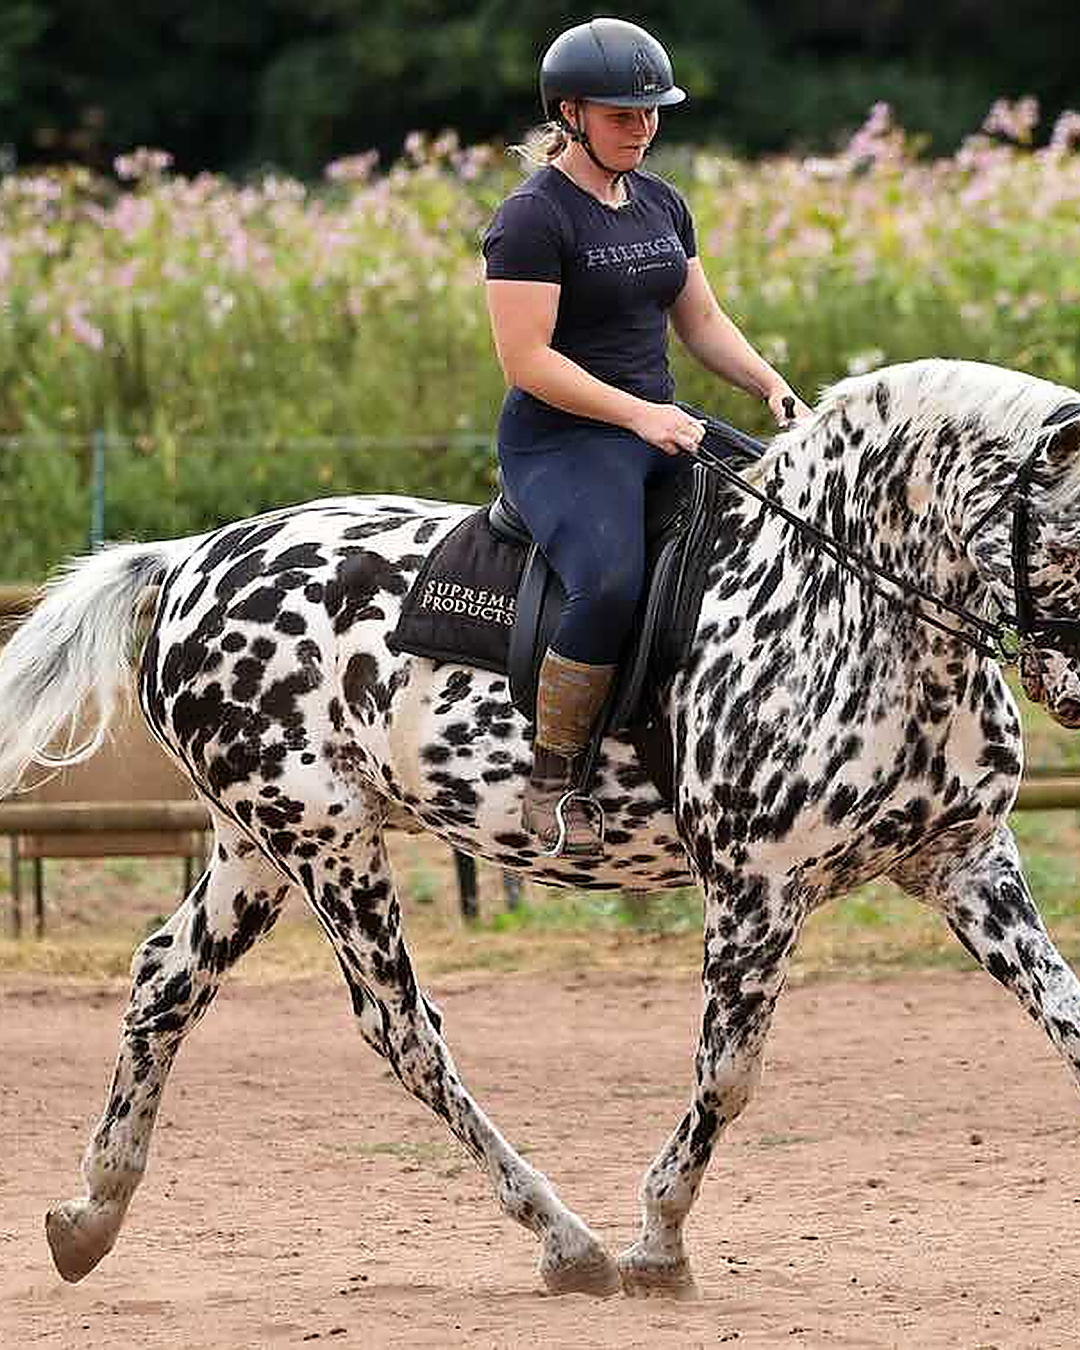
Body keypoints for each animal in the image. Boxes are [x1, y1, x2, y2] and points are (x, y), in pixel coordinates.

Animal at [3, 358, 1080, 1300]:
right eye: (1073, 542)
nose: (1076, 691)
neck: (841, 606)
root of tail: (189, 561)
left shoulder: (965, 864)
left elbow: (1068, 1020)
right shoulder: (756, 891)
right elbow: (726, 1078)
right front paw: (658, 1246)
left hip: (255, 846)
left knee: (165, 983)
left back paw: (90, 1215)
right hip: (327, 841)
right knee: (402, 1033)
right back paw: (568, 1243)